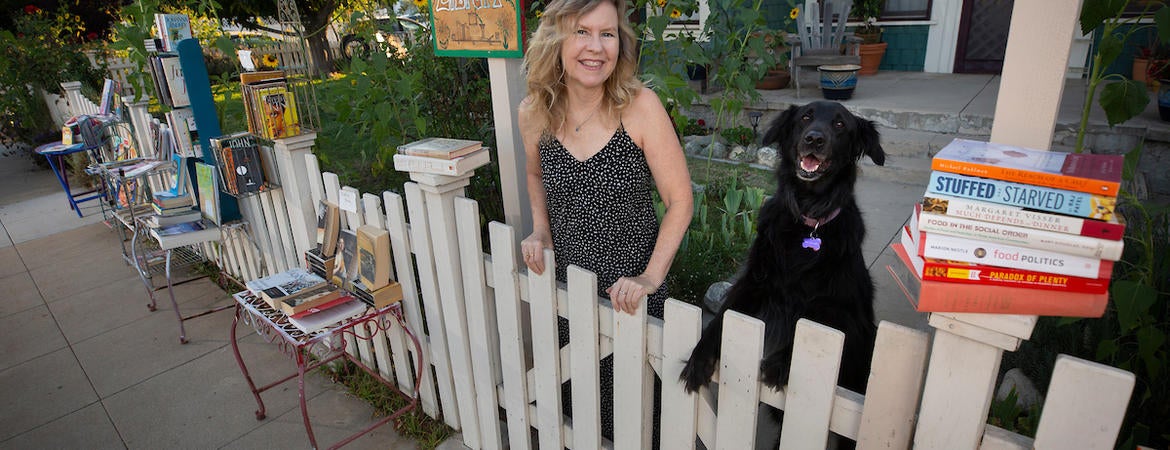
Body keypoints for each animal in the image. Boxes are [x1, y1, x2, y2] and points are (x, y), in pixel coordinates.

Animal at [683, 102, 879, 399]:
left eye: (840, 124)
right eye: (806, 117)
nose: (814, 139)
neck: (809, 219)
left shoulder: (847, 314)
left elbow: (809, 328)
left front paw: (781, 362)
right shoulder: (752, 285)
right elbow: (720, 319)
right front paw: (699, 357)